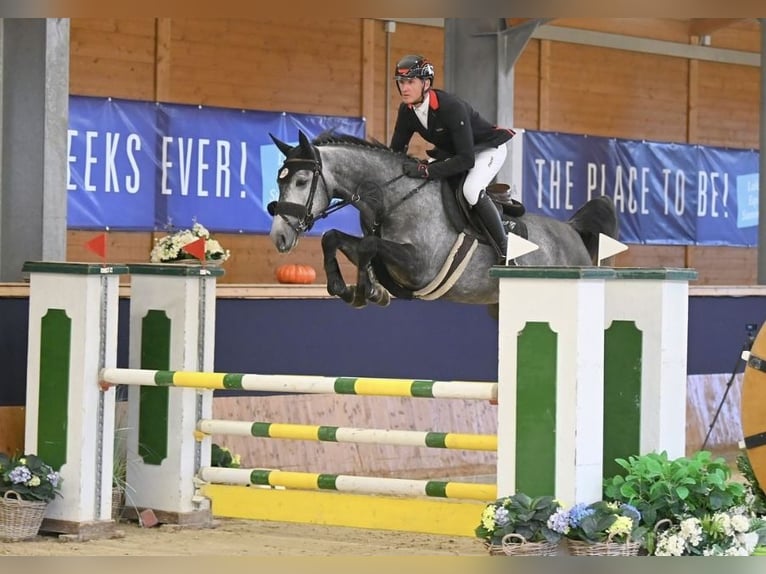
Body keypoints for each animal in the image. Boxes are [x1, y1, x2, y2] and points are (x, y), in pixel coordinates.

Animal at [268, 132, 620, 310]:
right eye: (278, 180)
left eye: (301, 181)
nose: (279, 238)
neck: (393, 196)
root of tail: (572, 231)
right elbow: (336, 238)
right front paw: (357, 290)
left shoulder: (420, 265)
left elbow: (368, 244)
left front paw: (365, 290)